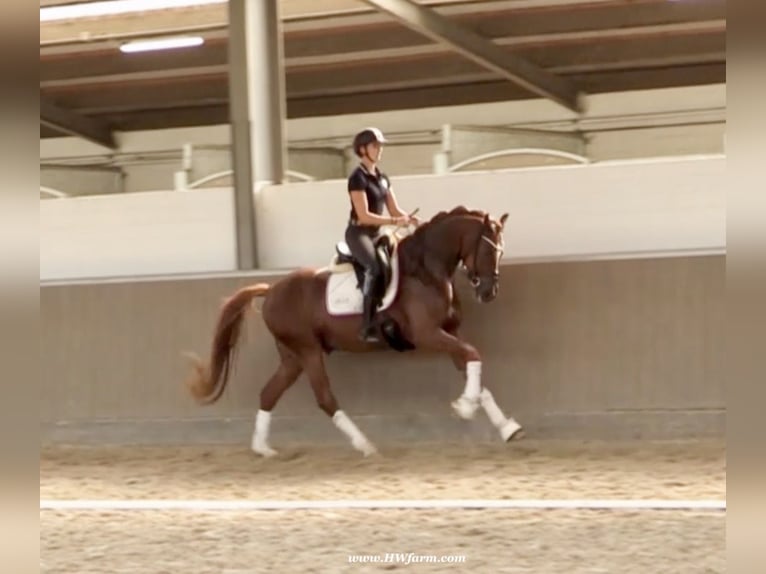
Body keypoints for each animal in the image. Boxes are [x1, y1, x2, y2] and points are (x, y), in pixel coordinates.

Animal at [183, 207, 524, 460]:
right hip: (308, 351)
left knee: (269, 393)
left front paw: (506, 427)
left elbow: (474, 369)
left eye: (501, 251)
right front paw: (464, 407)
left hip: (292, 356)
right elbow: (472, 354)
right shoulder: (428, 334)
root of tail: (271, 289)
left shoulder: (450, 331)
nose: (489, 292)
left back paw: (262, 448)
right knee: (325, 398)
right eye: (488, 250)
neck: (426, 271)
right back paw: (365, 445)